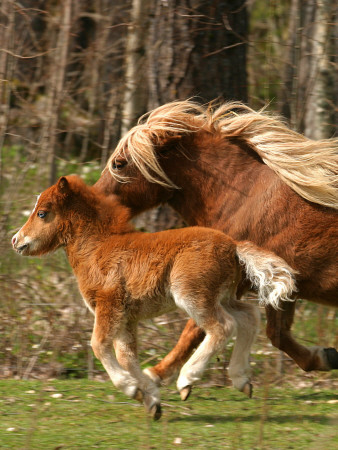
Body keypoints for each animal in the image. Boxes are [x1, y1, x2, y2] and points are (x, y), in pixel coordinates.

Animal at [11, 175, 294, 418]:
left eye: (42, 213)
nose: (16, 240)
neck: (97, 248)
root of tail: (234, 246)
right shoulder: (127, 317)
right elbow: (127, 356)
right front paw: (150, 398)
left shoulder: (108, 304)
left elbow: (99, 345)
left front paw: (132, 388)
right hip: (223, 296)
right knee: (249, 317)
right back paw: (241, 380)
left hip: (193, 296)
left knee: (223, 326)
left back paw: (187, 379)